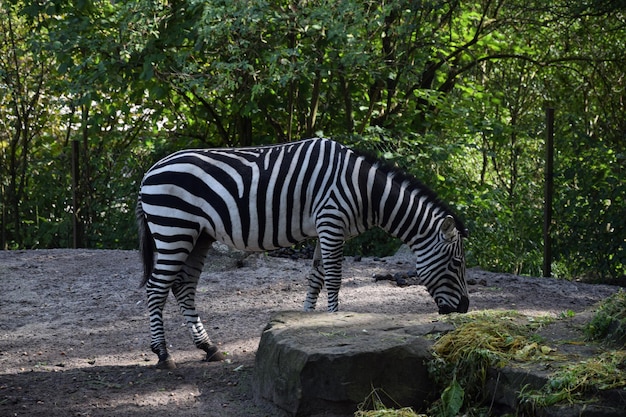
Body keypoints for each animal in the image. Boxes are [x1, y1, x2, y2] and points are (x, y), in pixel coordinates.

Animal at [138, 136, 468, 368]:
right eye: (456, 262)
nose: (465, 308)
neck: (365, 191)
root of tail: (150, 170)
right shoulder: (332, 221)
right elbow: (333, 279)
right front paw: (334, 321)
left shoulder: (326, 229)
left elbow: (316, 279)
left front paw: (304, 323)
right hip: (173, 229)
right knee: (156, 288)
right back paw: (163, 354)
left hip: (198, 236)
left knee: (184, 287)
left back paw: (208, 347)